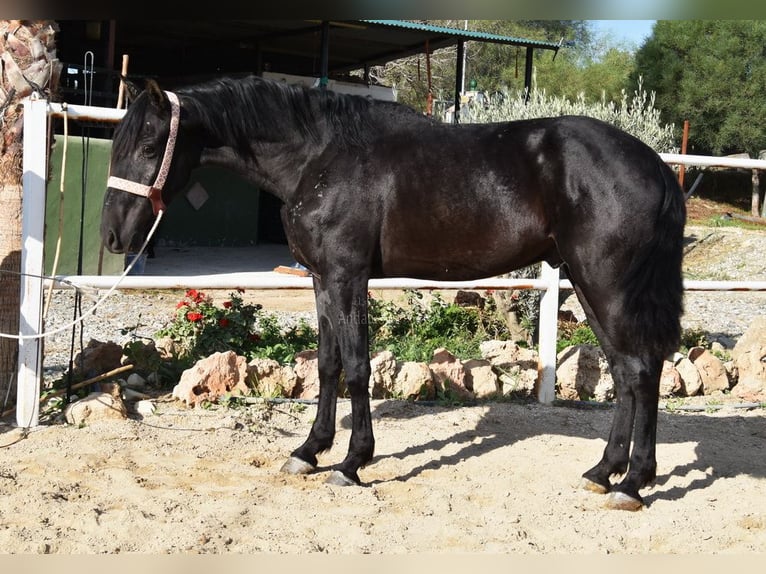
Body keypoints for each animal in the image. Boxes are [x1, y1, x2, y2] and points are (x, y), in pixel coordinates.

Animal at [99, 76, 688, 512]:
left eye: (149, 145)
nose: (113, 236)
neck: (320, 157)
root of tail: (654, 165)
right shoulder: (321, 277)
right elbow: (328, 365)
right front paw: (309, 451)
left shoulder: (348, 275)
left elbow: (358, 367)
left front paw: (352, 463)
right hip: (588, 284)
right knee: (626, 372)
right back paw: (604, 472)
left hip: (606, 283)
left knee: (639, 371)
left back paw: (632, 483)